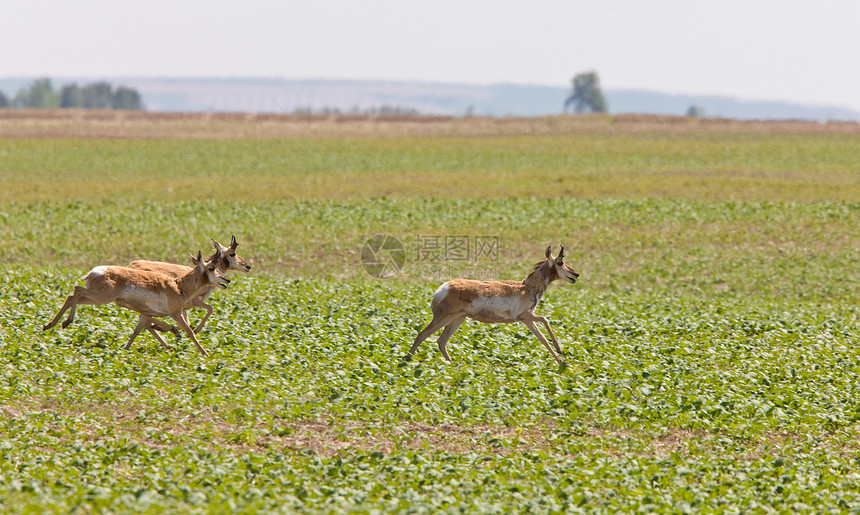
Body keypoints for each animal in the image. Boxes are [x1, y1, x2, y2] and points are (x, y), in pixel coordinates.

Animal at [42, 249, 230, 354]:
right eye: (211, 268)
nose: (227, 280)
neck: (178, 285)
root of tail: (95, 271)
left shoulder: (146, 314)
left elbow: (136, 331)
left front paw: (125, 350)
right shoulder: (176, 313)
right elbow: (190, 331)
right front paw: (205, 353)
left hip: (96, 299)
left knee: (75, 296)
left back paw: (50, 325)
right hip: (101, 297)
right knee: (75, 292)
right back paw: (64, 322)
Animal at [406, 247, 580, 364]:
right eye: (560, 262)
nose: (576, 274)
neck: (527, 287)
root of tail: (444, 288)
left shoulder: (527, 320)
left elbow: (542, 338)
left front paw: (560, 360)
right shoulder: (525, 315)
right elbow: (545, 320)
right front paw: (560, 351)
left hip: (458, 319)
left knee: (441, 341)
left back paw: (452, 365)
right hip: (444, 318)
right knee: (422, 334)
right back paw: (406, 361)